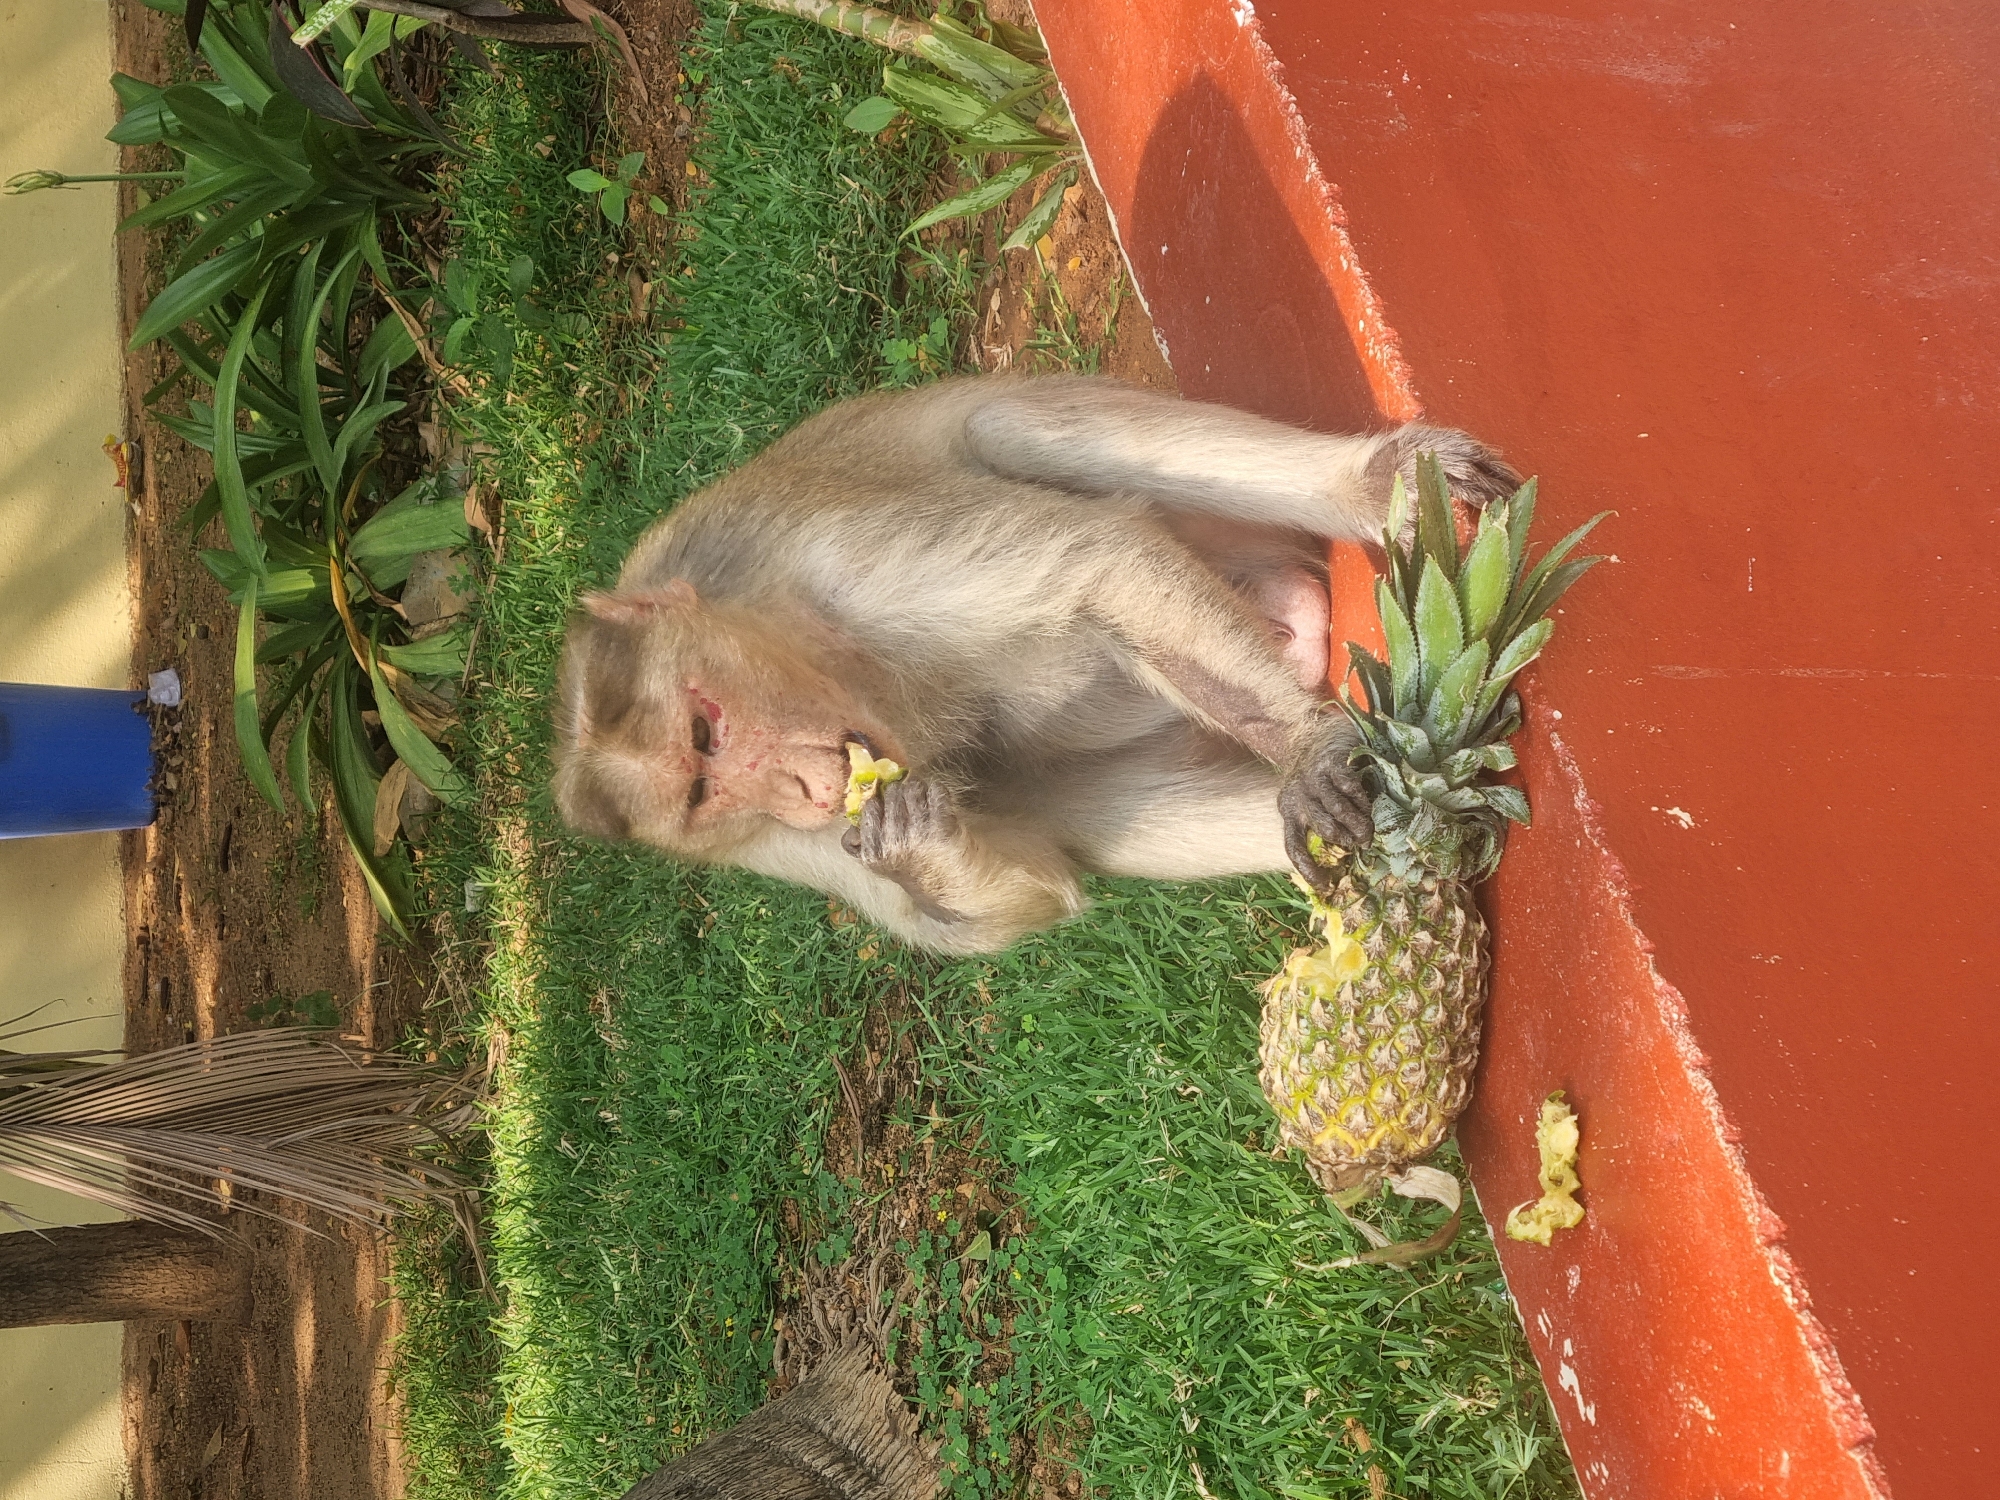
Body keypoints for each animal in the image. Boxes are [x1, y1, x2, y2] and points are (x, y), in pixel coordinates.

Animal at [554, 375, 1517, 954]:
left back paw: (1372, 484)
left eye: (703, 732)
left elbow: (1098, 564)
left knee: (1015, 429)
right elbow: (1033, 888)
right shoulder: (781, 843)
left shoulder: (834, 559)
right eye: (701, 795)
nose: (797, 787)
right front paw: (915, 852)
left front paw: (1307, 758)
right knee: (1089, 810)